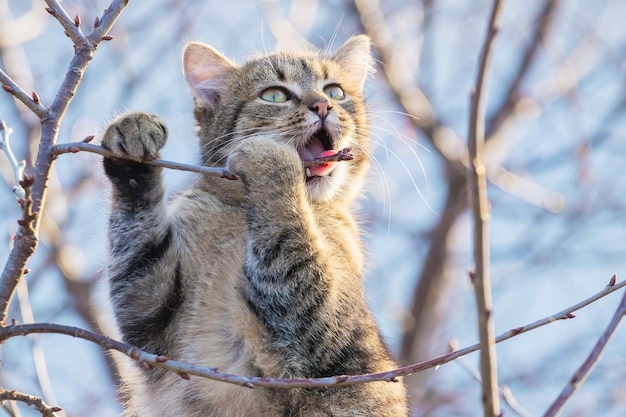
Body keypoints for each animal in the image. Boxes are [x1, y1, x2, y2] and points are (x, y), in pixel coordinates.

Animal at [101, 34, 410, 414]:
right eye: (274, 95)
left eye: (335, 91)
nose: (323, 105)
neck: (241, 215)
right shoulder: (148, 315)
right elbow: (136, 246)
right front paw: (132, 138)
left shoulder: (319, 329)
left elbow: (288, 239)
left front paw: (270, 158)